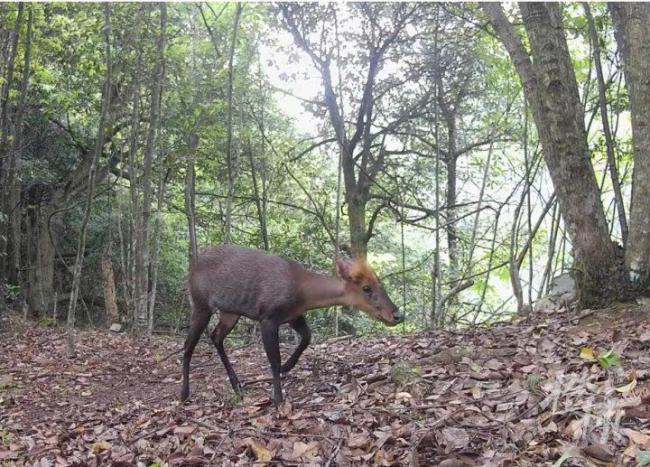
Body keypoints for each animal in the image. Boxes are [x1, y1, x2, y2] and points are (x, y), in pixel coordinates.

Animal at [178, 245, 400, 406]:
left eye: (380, 283)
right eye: (366, 288)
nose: (397, 314)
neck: (303, 292)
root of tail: (192, 267)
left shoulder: (293, 316)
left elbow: (307, 336)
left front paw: (288, 366)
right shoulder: (267, 317)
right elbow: (274, 359)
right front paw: (278, 399)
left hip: (230, 312)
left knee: (216, 336)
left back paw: (237, 386)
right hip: (200, 304)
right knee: (188, 345)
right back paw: (184, 393)